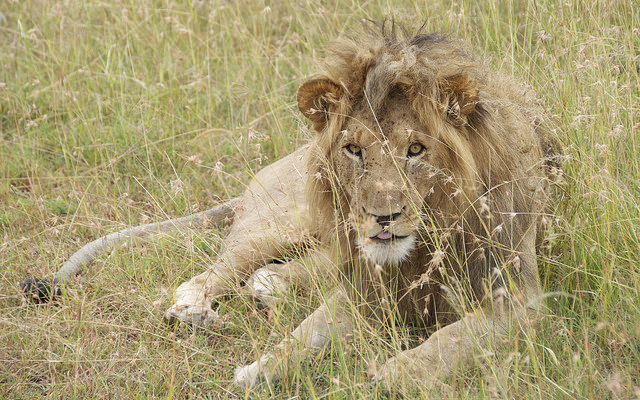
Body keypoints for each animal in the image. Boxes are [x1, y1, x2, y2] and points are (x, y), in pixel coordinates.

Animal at [24, 23, 559, 392]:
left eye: (416, 150)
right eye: (354, 149)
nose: (381, 217)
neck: (427, 240)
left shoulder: (519, 300)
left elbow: (445, 343)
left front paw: (387, 376)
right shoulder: (366, 291)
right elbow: (305, 335)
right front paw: (257, 371)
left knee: (270, 276)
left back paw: (263, 294)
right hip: (282, 223)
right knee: (206, 276)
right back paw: (195, 314)